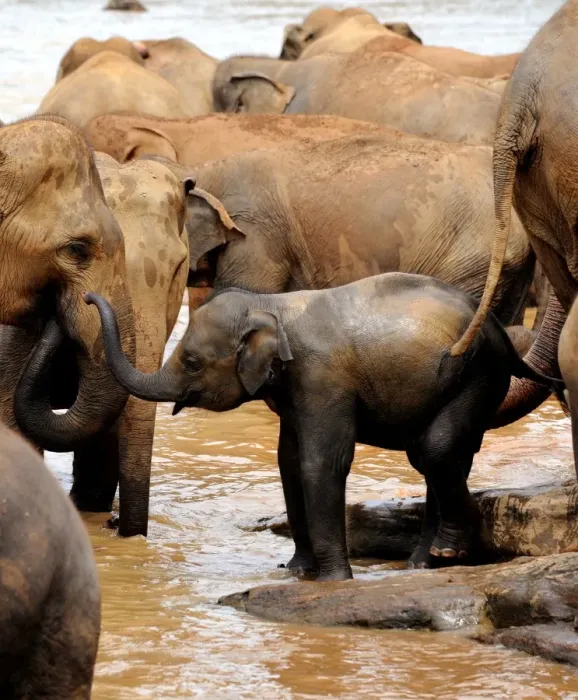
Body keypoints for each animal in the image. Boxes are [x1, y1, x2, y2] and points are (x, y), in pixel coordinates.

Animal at [86, 275, 561, 577]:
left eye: (190, 362)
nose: (89, 295)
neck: (272, 305)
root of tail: (504, 336)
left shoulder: (322, 379)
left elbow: (321, 464)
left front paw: (333, 581)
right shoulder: (294, 392)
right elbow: (288, 462)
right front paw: (296, 572)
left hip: (477, 374)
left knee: (438, 449)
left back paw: (446, 552)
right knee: (438, 457)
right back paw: (424, 562)